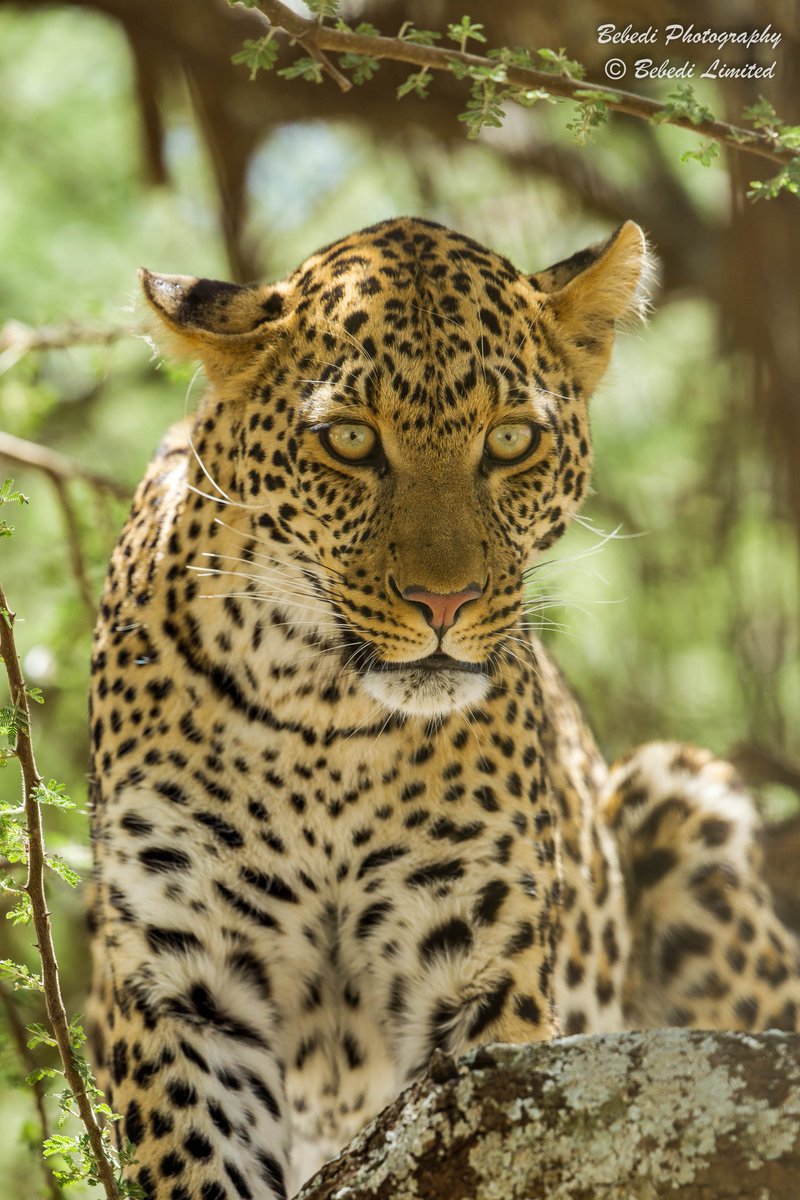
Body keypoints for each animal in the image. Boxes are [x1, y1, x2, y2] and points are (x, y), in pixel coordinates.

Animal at [87, 218, 800, 1200]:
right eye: (350, 441)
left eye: (511, 441)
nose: (444, 602)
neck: (322, 720)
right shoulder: (184, 978)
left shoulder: (474, 970)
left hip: (685, 802)